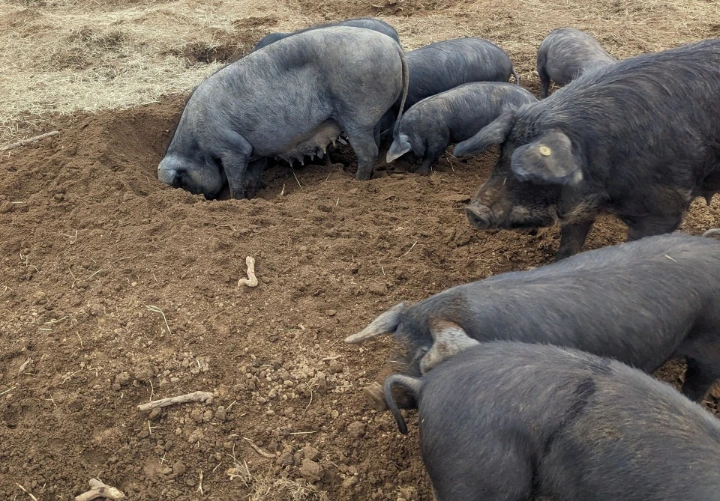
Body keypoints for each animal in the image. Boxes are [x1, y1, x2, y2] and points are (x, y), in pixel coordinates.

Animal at [158, 27, 409, 199]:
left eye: (181, 181)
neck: (197, 143)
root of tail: (393, 46)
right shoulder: (254, 151)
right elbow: (252, 176)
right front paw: (254, 195)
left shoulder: (232, 149)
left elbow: (235, 180)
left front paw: (236, 200)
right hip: (369, 117)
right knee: (374, 144)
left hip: (356, 114)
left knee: (367, 151)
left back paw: (357, 182)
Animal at [385, 82, 537, 175]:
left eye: (405, 152)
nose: (396, 170)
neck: (417, 130)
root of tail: (534, 100)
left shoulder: (439, 136)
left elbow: (431, 154)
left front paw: (419, 173)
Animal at [454, 38, 720, 260]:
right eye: (502, 153)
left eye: (532, 173)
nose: (474, 211)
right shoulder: (579, 208)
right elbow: (569, 246)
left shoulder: (664, 210)